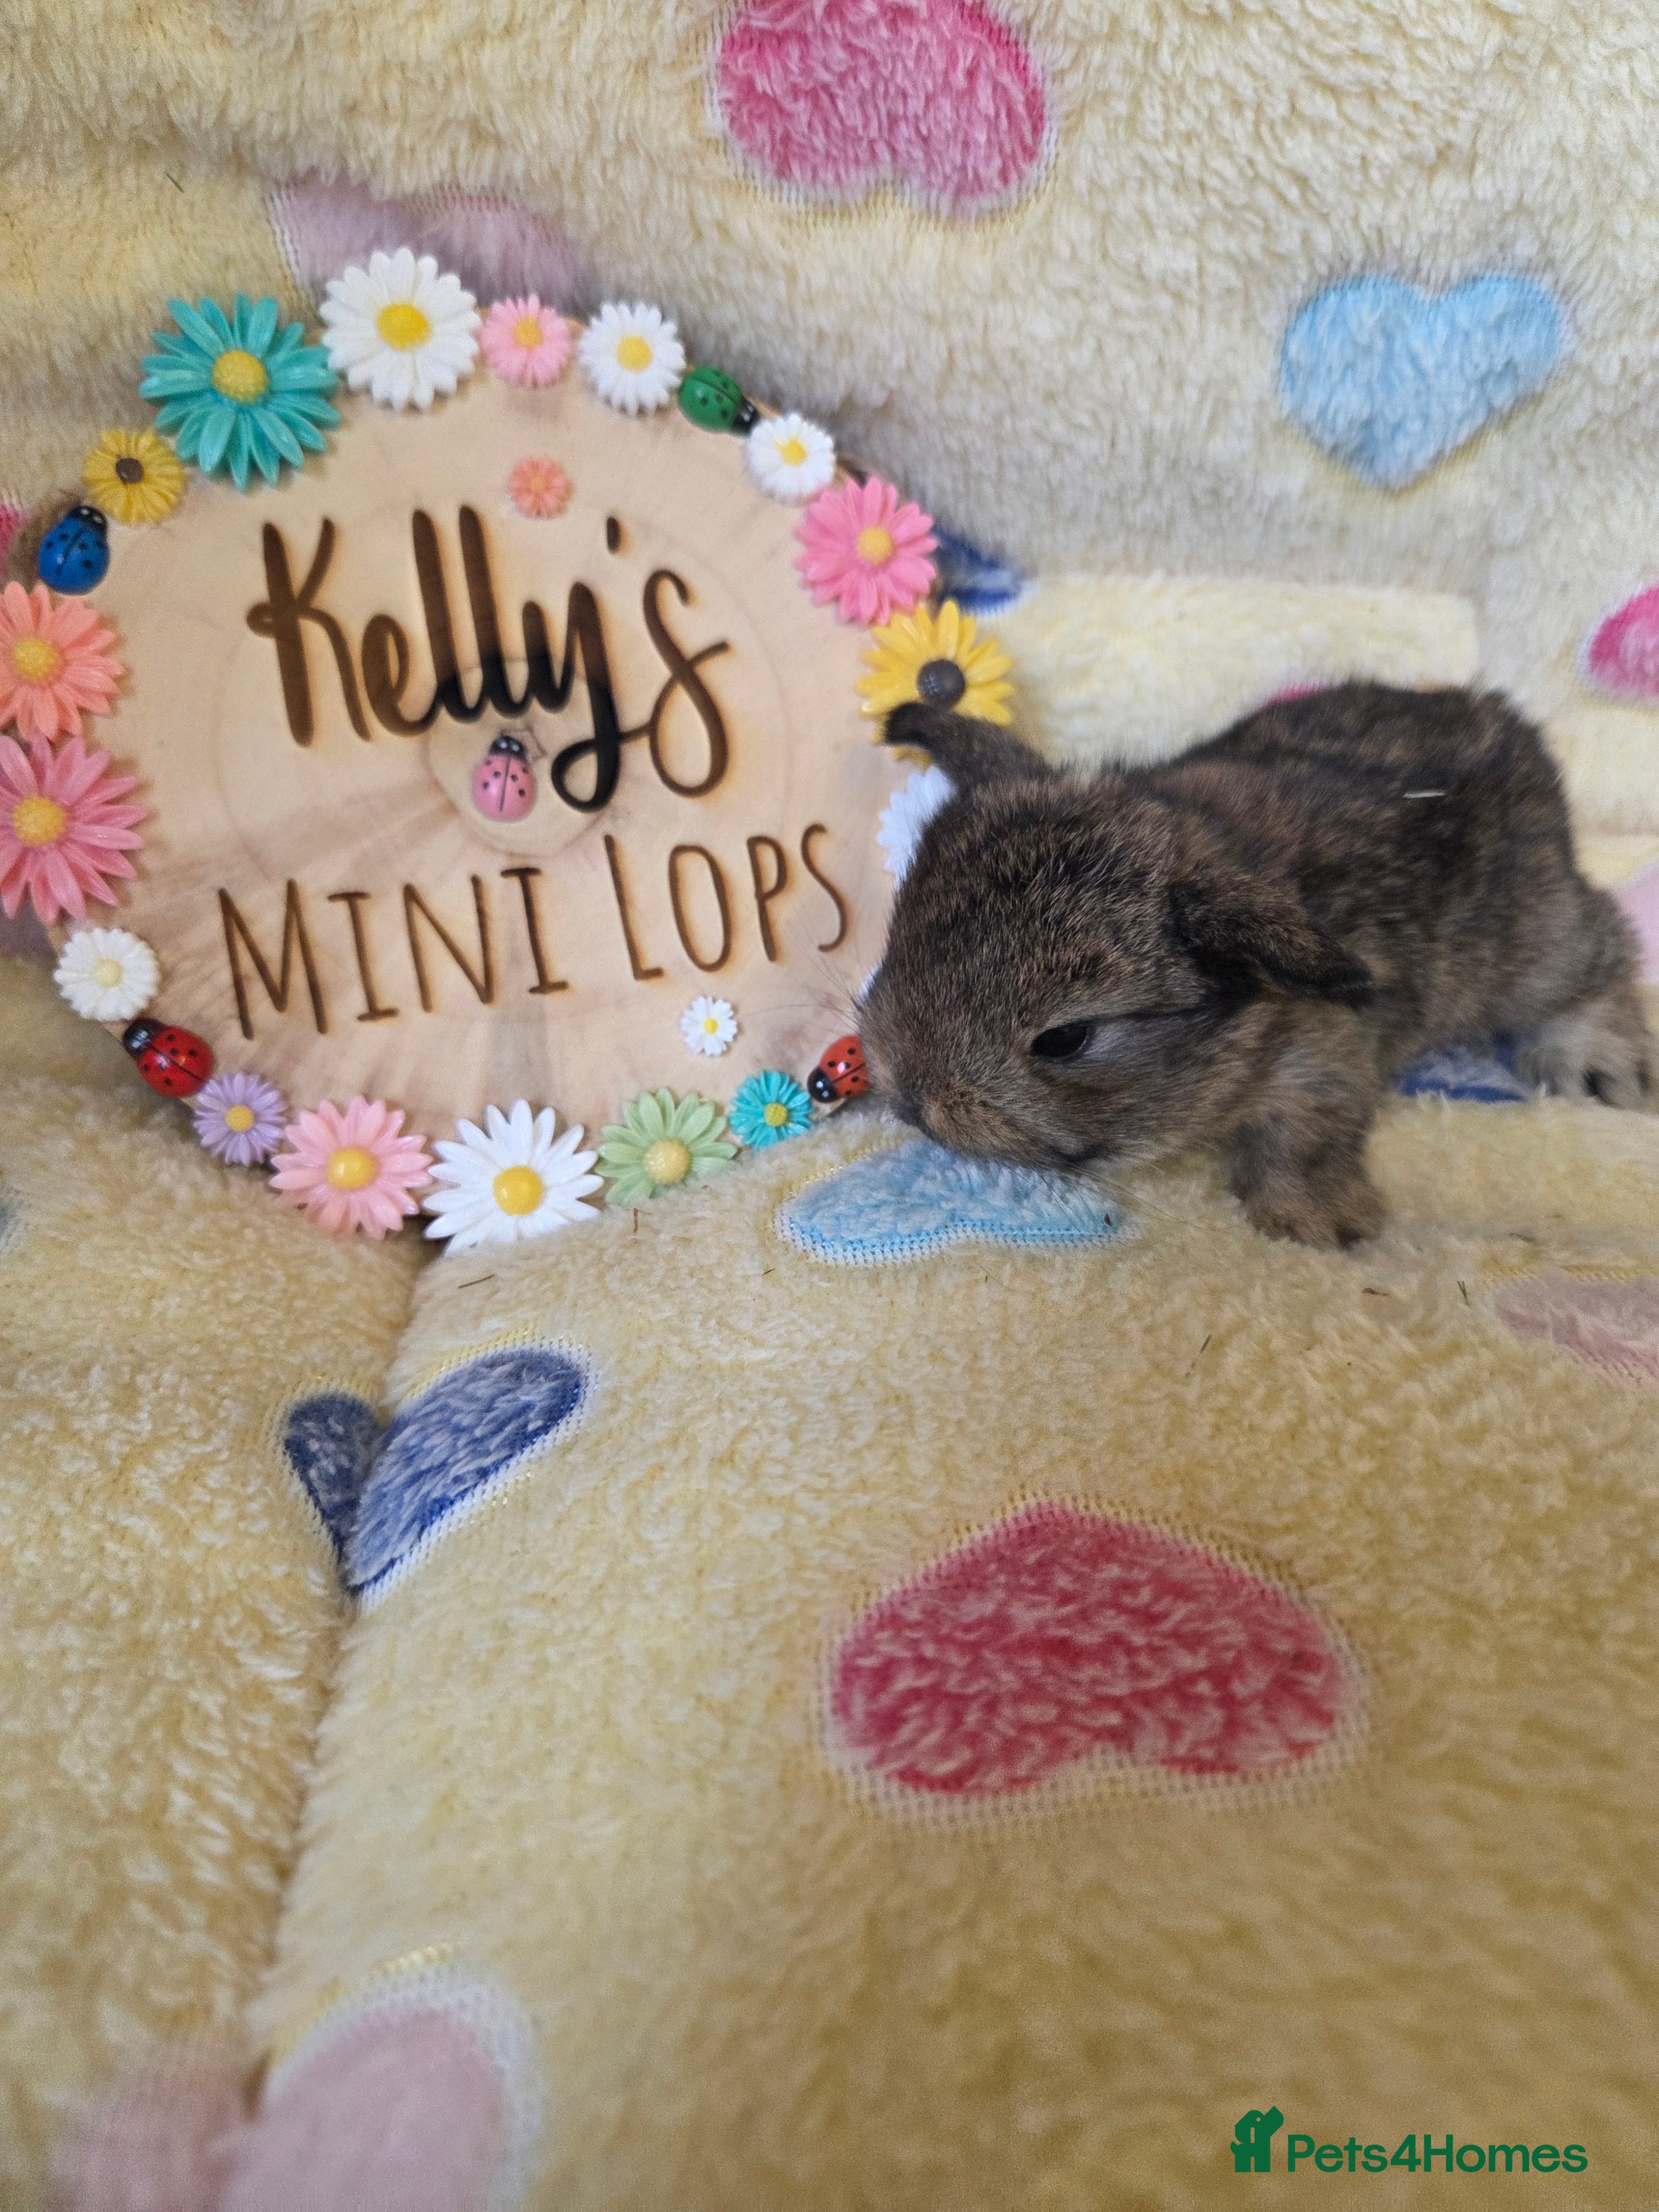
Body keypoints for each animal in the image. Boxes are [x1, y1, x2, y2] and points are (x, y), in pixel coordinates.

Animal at [859, 683, 1655, 1247]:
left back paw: (1600, 1066)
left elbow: (1303, 1131)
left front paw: (1318, 1222)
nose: (913, 1098)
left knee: (1600, 947)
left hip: (1536, 940)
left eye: (1065, 1040)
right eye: (896, 942)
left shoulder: (1324, 1050)